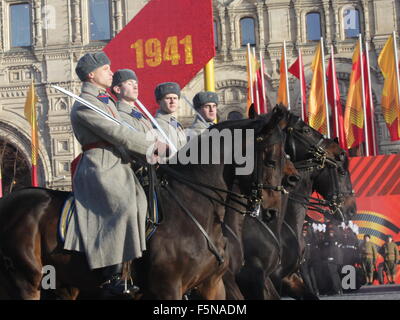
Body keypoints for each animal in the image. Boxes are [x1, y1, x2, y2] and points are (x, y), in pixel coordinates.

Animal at [0, 107, 288, 300]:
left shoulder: (213, 285)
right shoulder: (168, 289)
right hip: (26, 282)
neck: (195, 211)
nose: (273, 209)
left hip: (65, 286)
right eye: (271, 159)